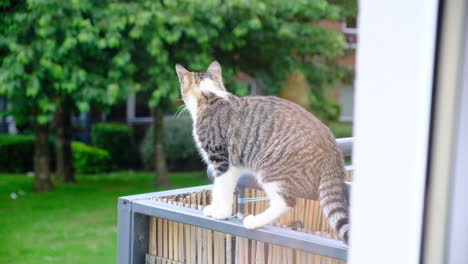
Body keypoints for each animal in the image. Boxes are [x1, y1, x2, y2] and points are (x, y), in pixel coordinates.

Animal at [176, 60, 352, 242]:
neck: (211, 96)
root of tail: (333, 149)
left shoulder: (221, 159)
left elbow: (223, 189)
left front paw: (221, 213)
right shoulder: (230, 165)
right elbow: (218, 188)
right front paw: (213, 208)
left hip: (270, 170)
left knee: (286, 202)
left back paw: (255, 221)